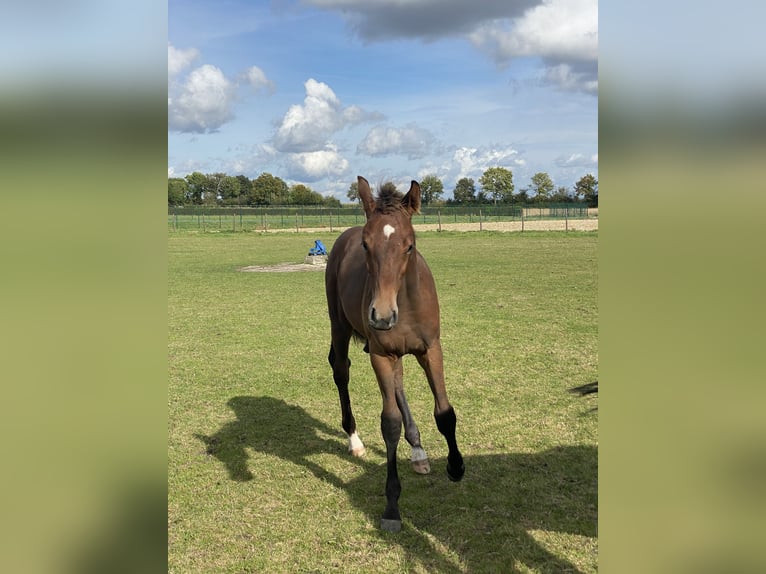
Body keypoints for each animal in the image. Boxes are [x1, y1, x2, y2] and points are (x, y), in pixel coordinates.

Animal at [326, 177, 464, 536]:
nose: (382, 316)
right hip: (339, 325)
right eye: (365, 245)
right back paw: (354, 440)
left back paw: (417, 451)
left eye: (410, 245)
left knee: (399, 385)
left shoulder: (431, 349)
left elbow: (445, 411)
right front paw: (391, 507)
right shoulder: (381, 354)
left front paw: (456, 466)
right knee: (341, 370)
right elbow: (389, 423)